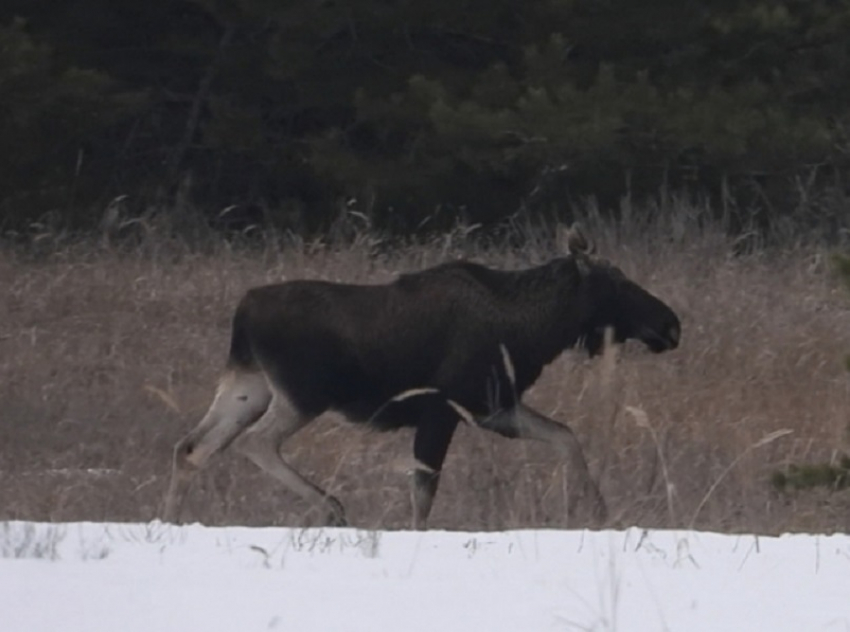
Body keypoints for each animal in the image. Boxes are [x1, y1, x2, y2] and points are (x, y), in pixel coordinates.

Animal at [162, 227, 680, 528]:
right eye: (617, 282)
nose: (671, 324)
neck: (533, 332)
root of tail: (243, 312)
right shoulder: (444, 409)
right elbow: (423, 495)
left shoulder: (492, 407)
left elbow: (566, 436)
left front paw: (600, 512)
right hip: (301, 394)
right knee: (253, 442)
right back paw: (332, 506)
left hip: (248, 385)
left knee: (192, 446)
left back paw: (172, 520)